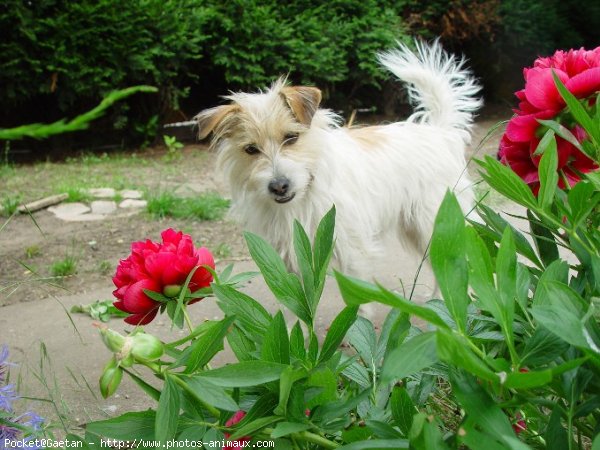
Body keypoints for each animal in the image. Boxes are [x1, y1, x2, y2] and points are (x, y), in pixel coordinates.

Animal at [195, 39, 480, 284]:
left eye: (291, 137)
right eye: (251, 149)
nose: (278, 186)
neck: (307, 192)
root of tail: (440, 132)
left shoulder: (351, 248)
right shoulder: (289, 256)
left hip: (435, 222)